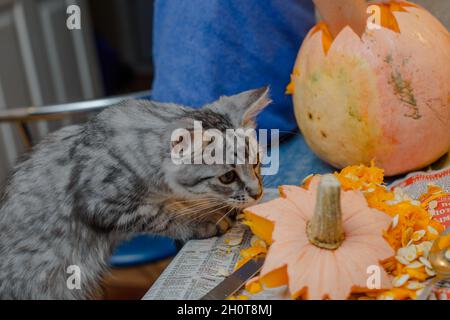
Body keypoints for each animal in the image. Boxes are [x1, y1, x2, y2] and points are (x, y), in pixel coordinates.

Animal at [0, 86, 270, 298]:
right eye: (228, 177)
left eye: (256, 161)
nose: (257, 193)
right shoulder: (106, 205)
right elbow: (165, 215)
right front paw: (206, 219)